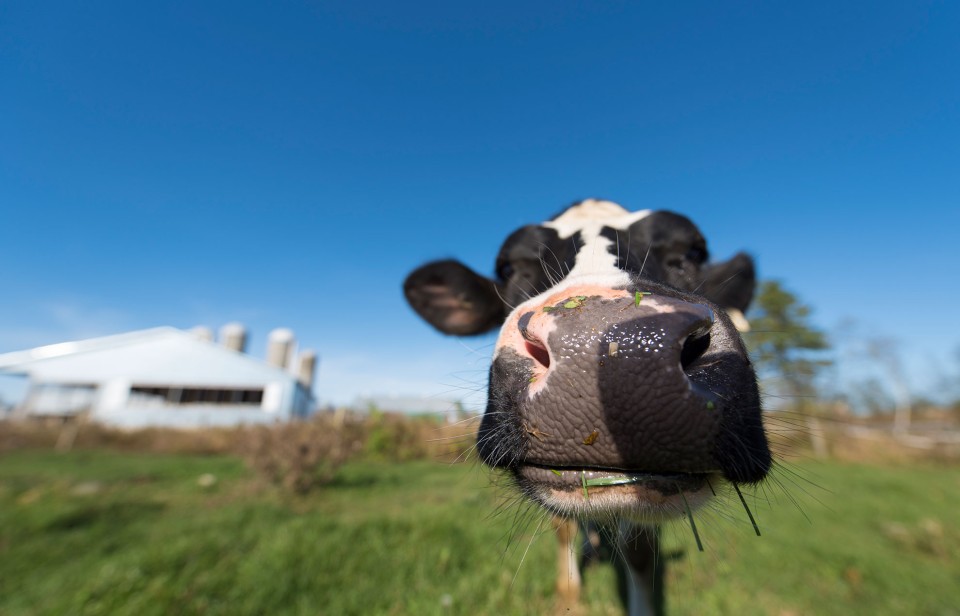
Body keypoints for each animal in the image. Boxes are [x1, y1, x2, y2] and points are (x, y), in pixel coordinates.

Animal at [404, 200, 772, 612]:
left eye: (693, 252)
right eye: (508, 268)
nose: (615, 341)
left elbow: (639, 549)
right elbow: (563, 525)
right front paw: (570, 595)